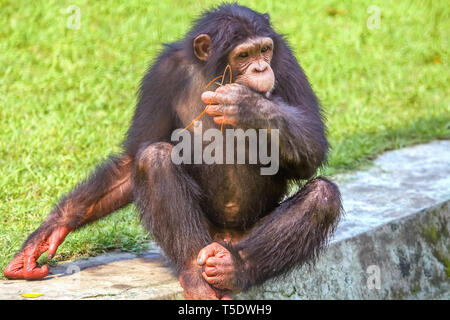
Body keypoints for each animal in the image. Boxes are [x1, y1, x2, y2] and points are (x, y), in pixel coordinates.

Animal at [3, 3, 342, 300]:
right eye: (244, 55)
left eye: (264, 50)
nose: (261, 68)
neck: (216, 73)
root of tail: (224, 239)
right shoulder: (161, 74)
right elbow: (134, 156)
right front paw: (49, 232)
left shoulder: (284, 59)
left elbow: (312, 141)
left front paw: (246, 105)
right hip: (203, 236)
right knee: (153, 158)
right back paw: (196, 275)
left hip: (247, 234)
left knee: (321, 196)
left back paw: (233, 267)